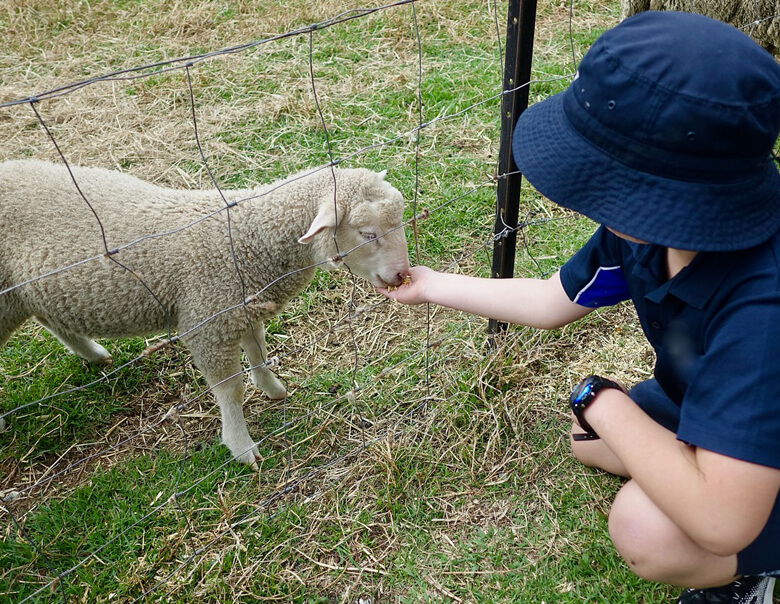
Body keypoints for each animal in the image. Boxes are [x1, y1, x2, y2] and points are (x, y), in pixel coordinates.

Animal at [0, 158, 412, 464]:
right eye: (367, 233)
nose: (401, 275)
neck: (248, 237)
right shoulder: (208, 323)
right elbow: (230, 391)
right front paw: (241, 445)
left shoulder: (241, 309)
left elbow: (257, 352)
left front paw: (272, 389)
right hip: (7, 298)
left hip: (36, 292)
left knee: (54, 319)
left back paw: (95, 355)